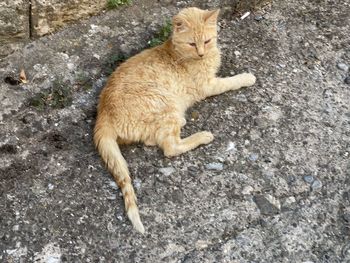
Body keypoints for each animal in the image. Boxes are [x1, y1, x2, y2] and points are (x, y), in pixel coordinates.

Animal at [94, 7, 256, 233]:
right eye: (192, 44)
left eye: (206, 41)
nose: (201, 53)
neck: (179, 53)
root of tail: (103, 113)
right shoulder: (208, 85)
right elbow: (231, 81)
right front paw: (247, 77)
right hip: (165, 102)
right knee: (170, 147)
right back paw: (202, 135)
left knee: (152, 140)